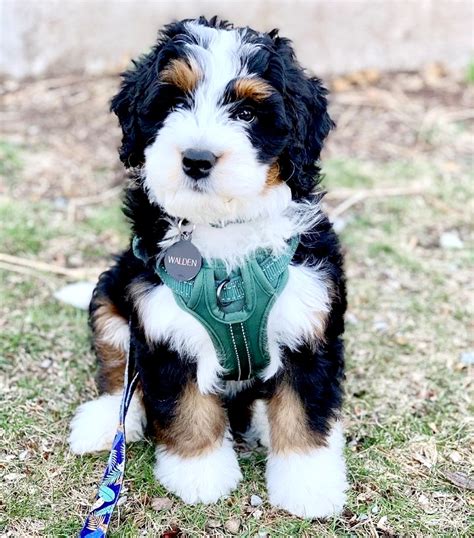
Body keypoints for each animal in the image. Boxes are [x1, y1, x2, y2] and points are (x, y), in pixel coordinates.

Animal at [68, 16, 346, 516]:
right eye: (175, 102)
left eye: (248, 114)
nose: (197, 160)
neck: (222, 230)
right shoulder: (163, 323)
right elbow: (186, 407)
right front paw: (199, 474)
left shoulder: (308, 319)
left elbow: (303, 409)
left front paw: (308, 485)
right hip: (112, 298)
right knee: (120, 374)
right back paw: (104, 422)